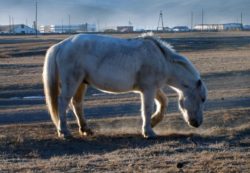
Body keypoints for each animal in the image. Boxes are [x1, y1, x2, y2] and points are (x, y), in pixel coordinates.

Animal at [42, 33, 207, 139]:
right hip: (72, 82)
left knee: (76, 104)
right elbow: (147, 109)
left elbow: (163, 102)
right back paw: (64, 131)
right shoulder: (148, 90)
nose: (197, 123)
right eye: (202, 99)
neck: (162, 60)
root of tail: (62, 45)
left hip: (81, 83)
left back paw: (85, 130)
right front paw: (148, 131)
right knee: (63, 102)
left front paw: (153, 123)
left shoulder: (154, 88)